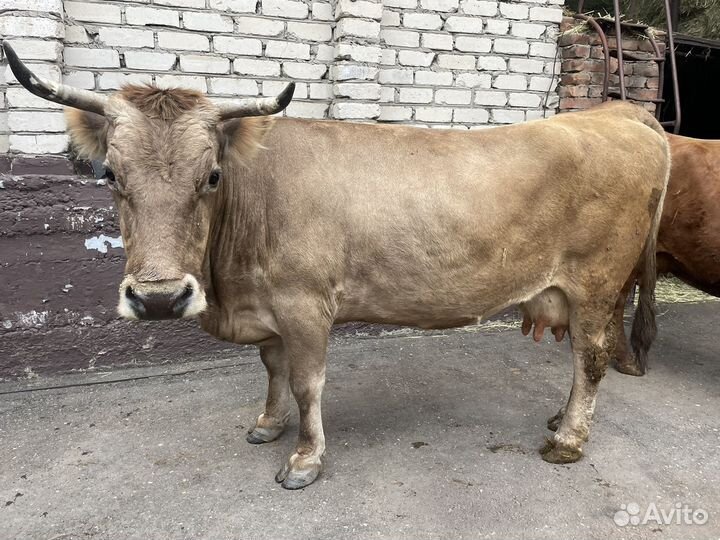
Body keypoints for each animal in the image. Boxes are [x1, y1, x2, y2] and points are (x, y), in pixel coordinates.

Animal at [4, 42, 670, 490]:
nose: (161, 298)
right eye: (110, 175)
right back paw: (561, 418)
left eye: (211, 176)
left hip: (595, 282)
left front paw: (304, 459)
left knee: (591, 358)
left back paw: (568, 440)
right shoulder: (269, 309)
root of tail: (615, 113)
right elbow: (272, 371)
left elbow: (307, 383)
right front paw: (267, 424)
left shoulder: (304, 305)